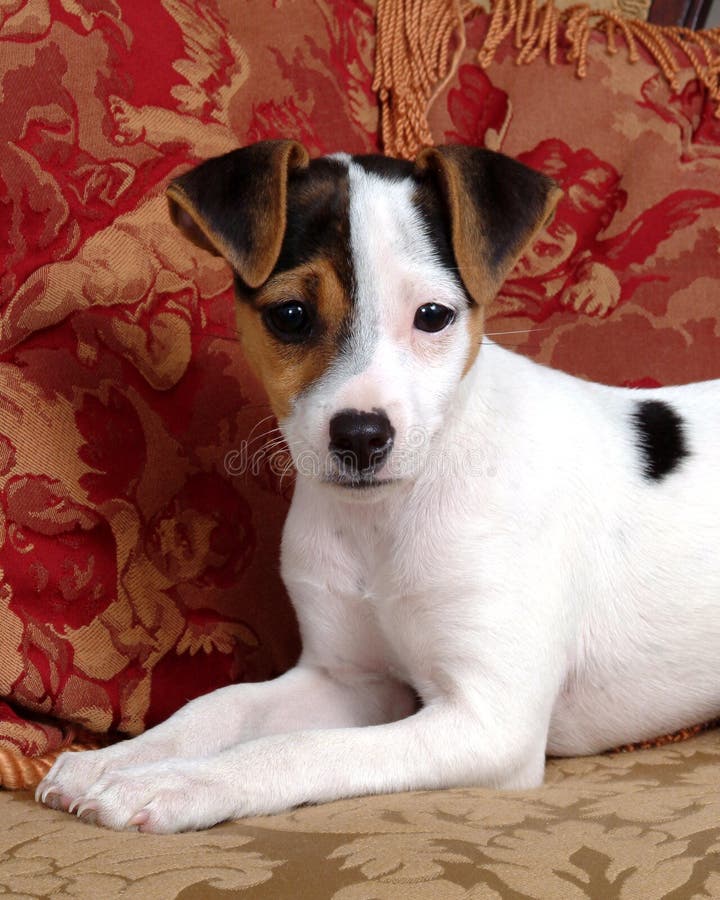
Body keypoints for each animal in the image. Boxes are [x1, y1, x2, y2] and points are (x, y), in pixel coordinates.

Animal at [38, 141, 720, 836]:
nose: (362, 437)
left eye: (433, 316)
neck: (387, 518)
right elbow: (220, 706)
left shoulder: (488, 723)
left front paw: (176, 783)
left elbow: (301, 748)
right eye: (290, 316)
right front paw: (118, 759)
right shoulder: (348, 678)